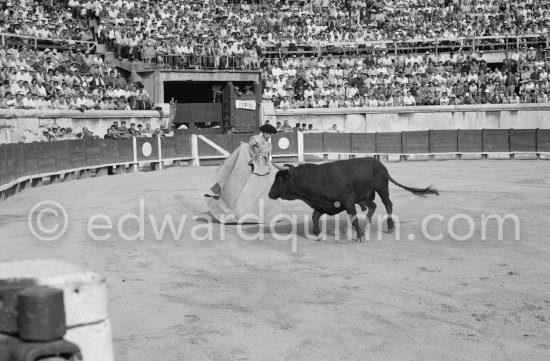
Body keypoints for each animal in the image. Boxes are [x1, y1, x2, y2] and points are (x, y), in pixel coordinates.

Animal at [270, 158, 442, 242]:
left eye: (278, 179)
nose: (270, 194)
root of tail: (379, 163)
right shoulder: (321, 204)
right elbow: (314, 217)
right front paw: (318, 234)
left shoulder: (348, 201)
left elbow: (353, 217)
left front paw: (359, 236)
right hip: (365, 195)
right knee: (373, 206)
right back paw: (366, 223)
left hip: (382, 188)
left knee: (388, 204)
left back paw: (390, 226)